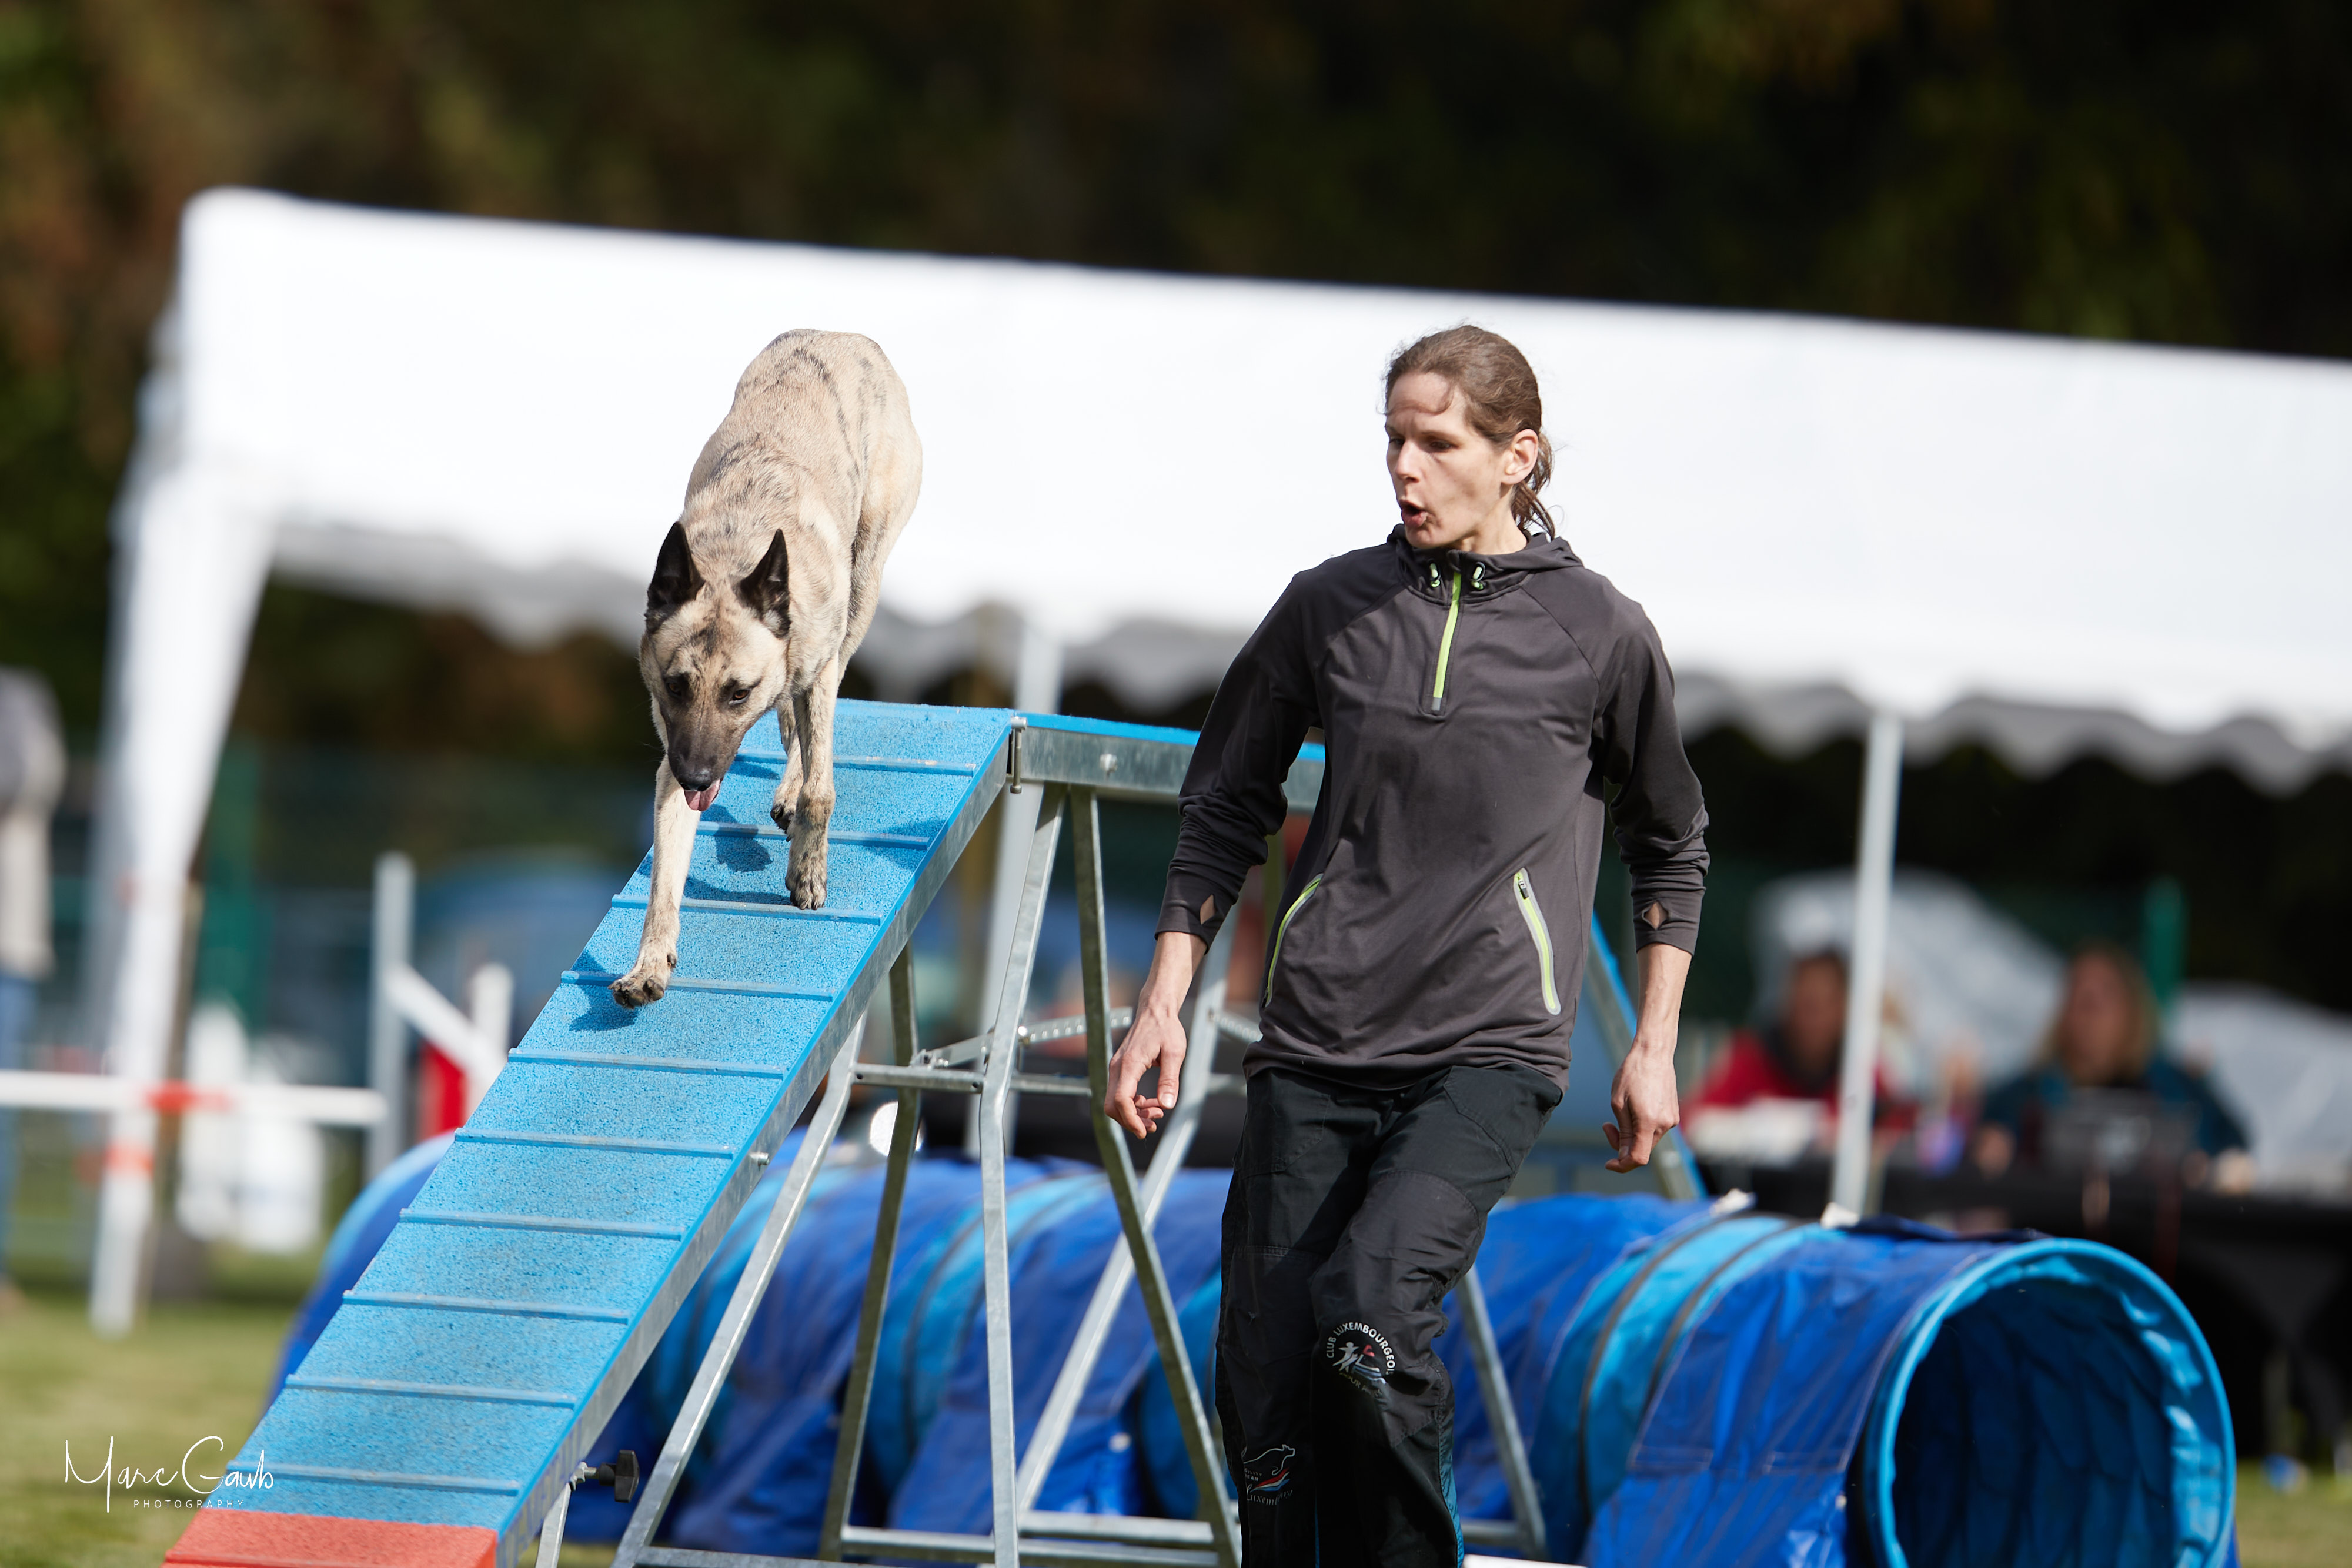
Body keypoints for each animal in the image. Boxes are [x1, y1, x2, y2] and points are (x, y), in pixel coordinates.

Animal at [611, 330, 921, 1008]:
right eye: (677, 685)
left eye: (737, 692)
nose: (699, 776)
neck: (735, 556)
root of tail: (844, 336)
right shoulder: (672, 759)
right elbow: (664, 881)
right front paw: (649, 966)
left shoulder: (818, 666)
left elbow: (820, 788)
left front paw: (807, 871)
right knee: (789, 724)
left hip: (863, 584)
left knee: (813, 726)